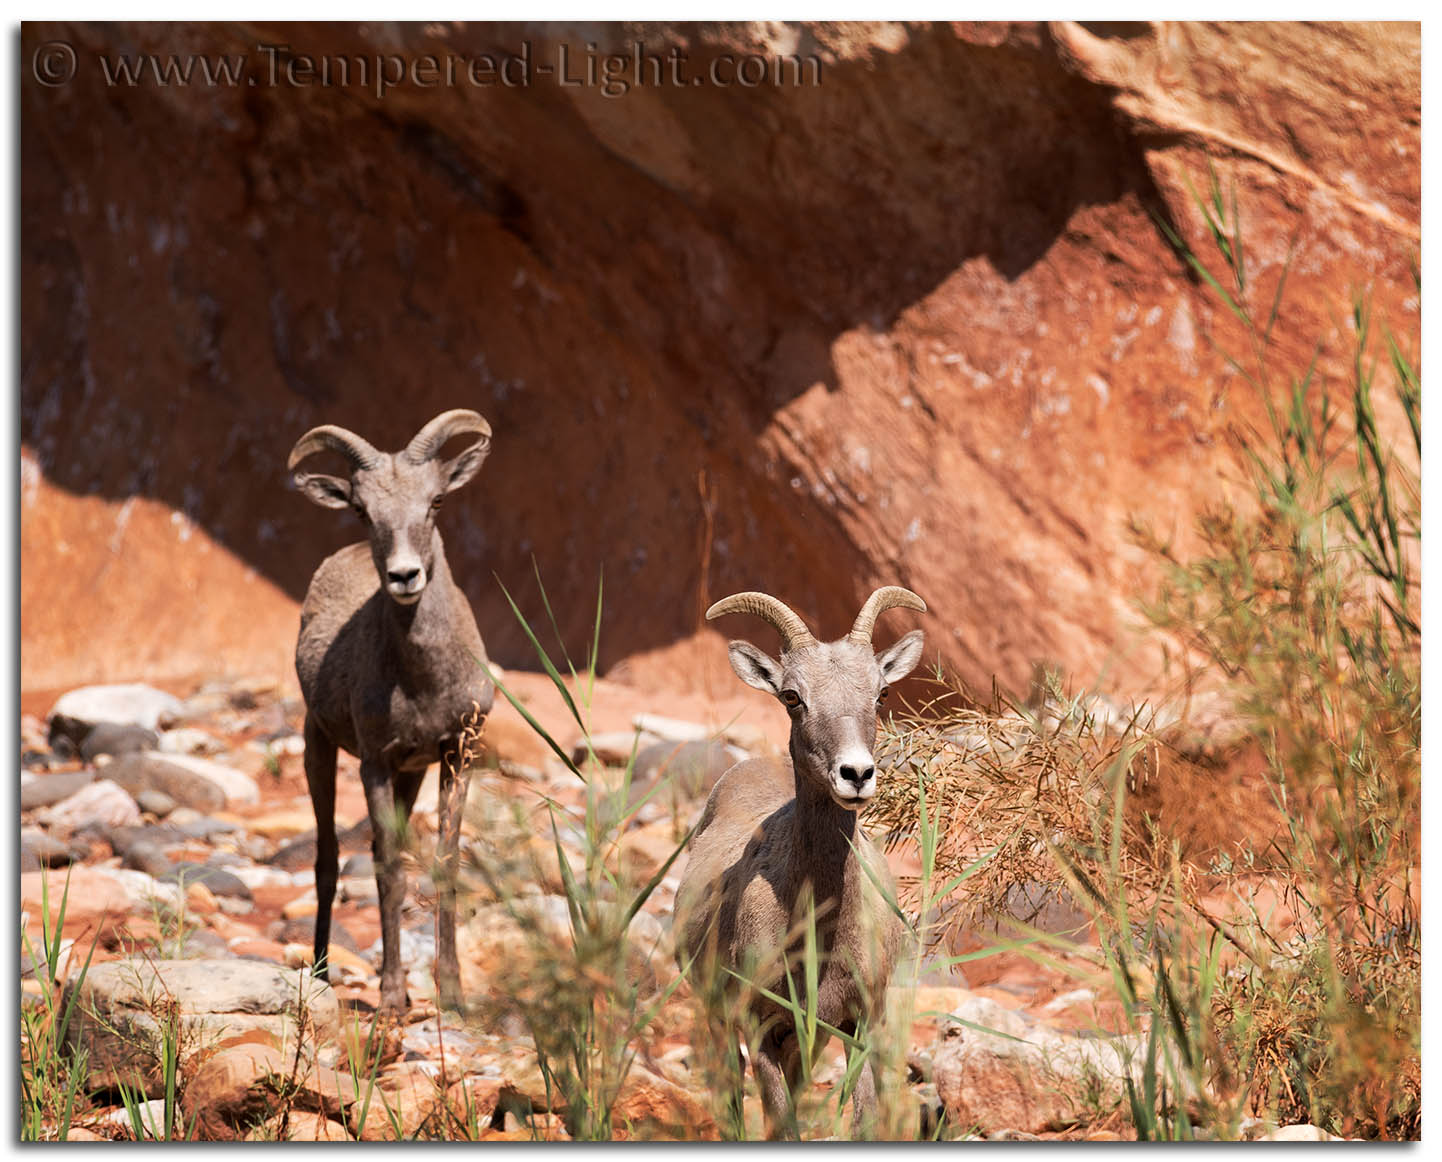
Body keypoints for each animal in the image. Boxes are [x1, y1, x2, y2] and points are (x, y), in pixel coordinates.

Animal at [286, 412, 496, 1020]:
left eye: (436, 501)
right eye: (362, 509)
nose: (405, 577)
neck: (423, 681)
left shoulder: (454, 757)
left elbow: (445, 863)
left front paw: (452, 994)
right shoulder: (374, 764)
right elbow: (387, 872)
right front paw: (391, 997)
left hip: (412, 775)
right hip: (318, 748)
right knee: (328, 860)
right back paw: (322, 973)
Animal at [671, 588, 922, 1141]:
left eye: (881, 695)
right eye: (792, 696)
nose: (856, 774)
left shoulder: (855, 1024)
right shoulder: (761, 1029)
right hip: (720, 1022)